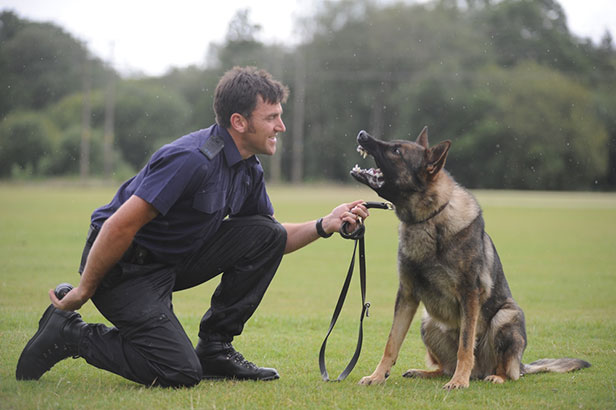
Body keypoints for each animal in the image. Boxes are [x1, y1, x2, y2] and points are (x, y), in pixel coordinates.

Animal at [348, 126, 588, 390]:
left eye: (396, 150)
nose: (361, 134)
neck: (428, 218)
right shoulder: (407, 294)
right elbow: (392, 342)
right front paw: (377, 376)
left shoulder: (469, 294)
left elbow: (465, 344)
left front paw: (459, 381)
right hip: (427, 321)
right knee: (444, 367)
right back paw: (426, 373)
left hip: (505, 317)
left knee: (505, 370)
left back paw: (491, 376)